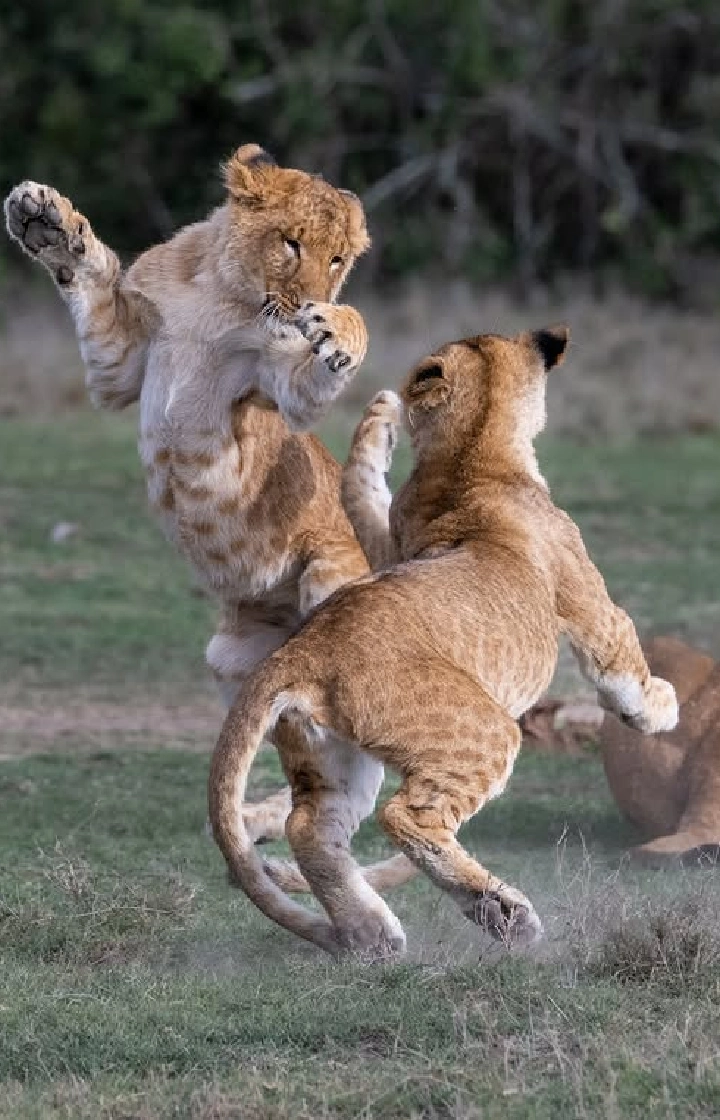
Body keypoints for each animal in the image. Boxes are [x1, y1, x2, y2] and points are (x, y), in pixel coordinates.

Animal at [3, 146, 409, 885]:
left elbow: (321, 367)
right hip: (231, 657)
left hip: (329, 581)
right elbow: (93, 274)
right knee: (315, 755)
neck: (223, 297)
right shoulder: (119, 368)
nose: (314, 301)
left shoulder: (283, 391)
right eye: (291, 243)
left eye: (338, 259)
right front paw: (47, 222)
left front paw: (338, 329)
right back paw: (260, 820)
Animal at [208, 326, 679, 956]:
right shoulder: (588, 600)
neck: (473, 455)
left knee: (311, 830)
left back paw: (374, 935)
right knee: (407, 817)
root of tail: (303, 651)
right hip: (485, 731)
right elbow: (621, 664)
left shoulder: (394, 545)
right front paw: (662, 708)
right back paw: (502, 913)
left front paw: (379, 419)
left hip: (332, 755)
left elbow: (361, 496)